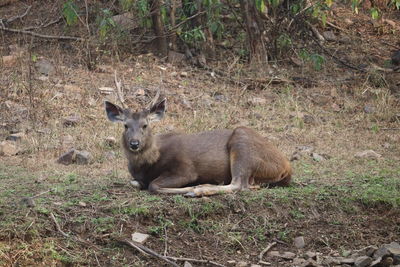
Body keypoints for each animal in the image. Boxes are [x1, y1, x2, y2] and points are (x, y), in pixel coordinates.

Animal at [104, 99, 292, 198]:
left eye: (145, 125)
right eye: (126, 126)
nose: (134, 143)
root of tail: (286, 167)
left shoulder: (185, 169)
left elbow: (153, 185)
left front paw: (190, 189)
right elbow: (135, 183)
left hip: (243, 143)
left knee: (239, 184)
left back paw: (199, 189)